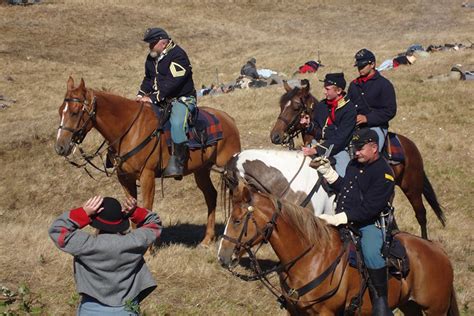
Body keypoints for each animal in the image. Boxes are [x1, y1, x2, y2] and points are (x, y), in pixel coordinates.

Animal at [55, 78, 241, 246]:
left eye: (75, 112)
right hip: (201, 171)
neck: (130, 129)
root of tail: (229, 119)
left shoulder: (147, 176)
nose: (60, 147)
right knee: (211, 196)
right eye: (60, 111)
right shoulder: (125, 179)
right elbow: (132, 210)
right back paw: (207, 239)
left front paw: (148, 249)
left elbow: (147, 207)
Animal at [218, 179, 460, 314]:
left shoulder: (326, 313)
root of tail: (440, 252)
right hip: (410, 306)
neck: (309, 258)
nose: (222, 256)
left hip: (435, 310)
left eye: (237, 220)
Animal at [270, 81, 444, 239]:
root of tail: (410, 145)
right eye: (281, 105)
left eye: (296, 107)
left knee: (421, 214)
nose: (275, 136)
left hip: (412, 187)